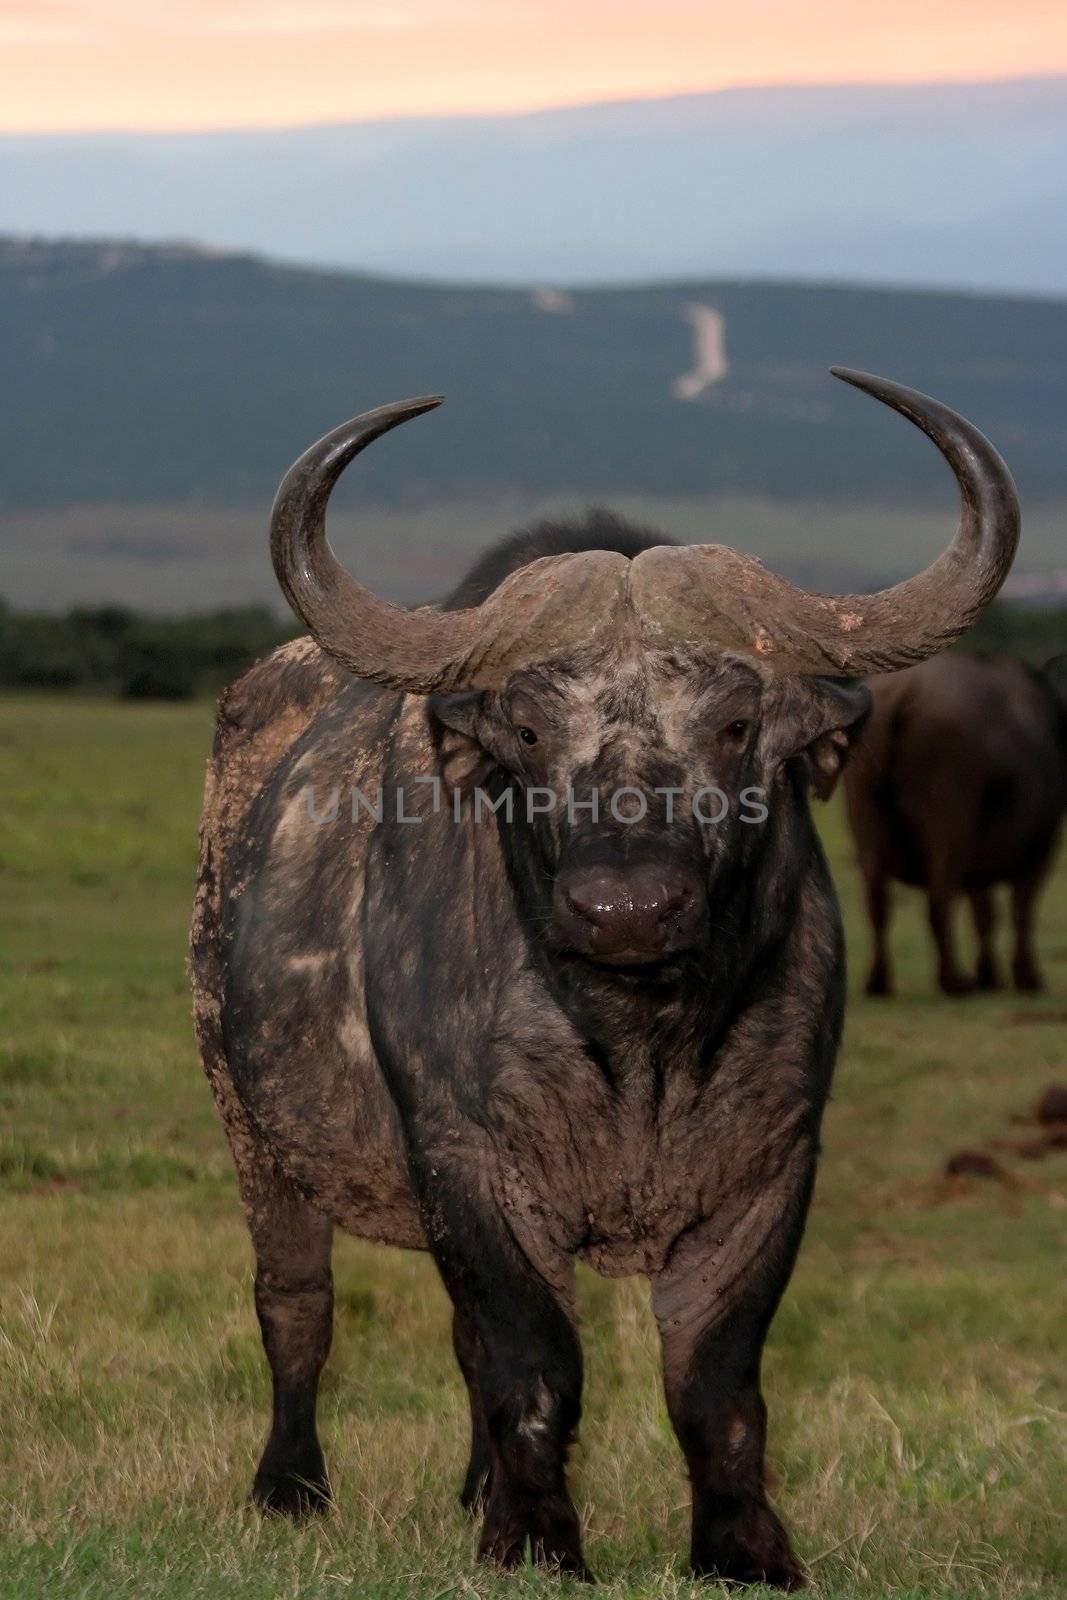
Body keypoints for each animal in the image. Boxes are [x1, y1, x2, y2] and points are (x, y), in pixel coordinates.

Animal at [189, 368, 1017, 1580]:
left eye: (735, 723)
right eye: (530, 732)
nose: (625, 907)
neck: (638, 1044)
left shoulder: (772, 1164)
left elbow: (714, 1380)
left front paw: (742, 1549)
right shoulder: (468, 1162)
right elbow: (532, 1360)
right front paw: (534, 1542)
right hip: (250, 1122)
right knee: (296, 1299)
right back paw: (289, 1486)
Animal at [844, 646, 1062, 992]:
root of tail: (904, 692)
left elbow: (984, 912)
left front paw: (990, 974)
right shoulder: (1040, 848)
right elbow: (1020, 909)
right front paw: (1025, 976)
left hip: (866, 818)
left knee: (877, 901)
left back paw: (879, 980)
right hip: (950, 824)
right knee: (940, 895)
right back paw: (954, 980)